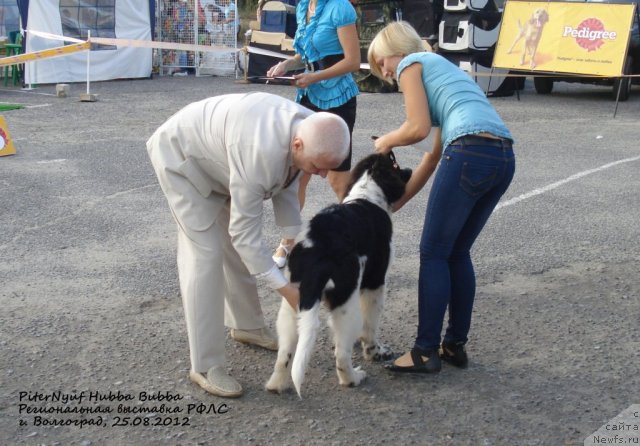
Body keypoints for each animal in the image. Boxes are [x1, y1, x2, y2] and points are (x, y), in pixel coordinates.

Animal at [264, 152, 410, 396]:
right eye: (395, 163)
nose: (409, 170)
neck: (367, 194)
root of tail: (318, 253)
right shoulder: (375, 283)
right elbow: (371, 326)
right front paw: (376, 352)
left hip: (292, 301)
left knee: (285, 353)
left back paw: (277, 384)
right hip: (346, 304)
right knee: (341, 354)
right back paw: (353, 378)